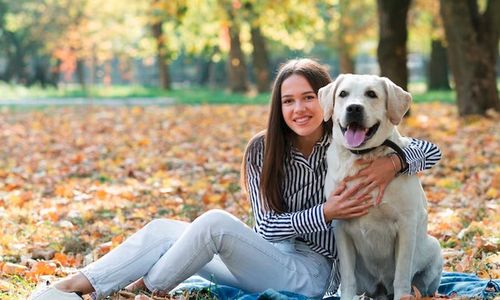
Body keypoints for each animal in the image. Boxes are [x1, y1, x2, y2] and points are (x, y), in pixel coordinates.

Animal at [320, 74, 442, 298]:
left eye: (371, 94)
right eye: (343, 94)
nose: (354, 108)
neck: (363, 157)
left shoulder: (406, 223)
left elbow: (402, 275)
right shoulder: (340, 225)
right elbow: (348, 278)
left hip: (434, 248)